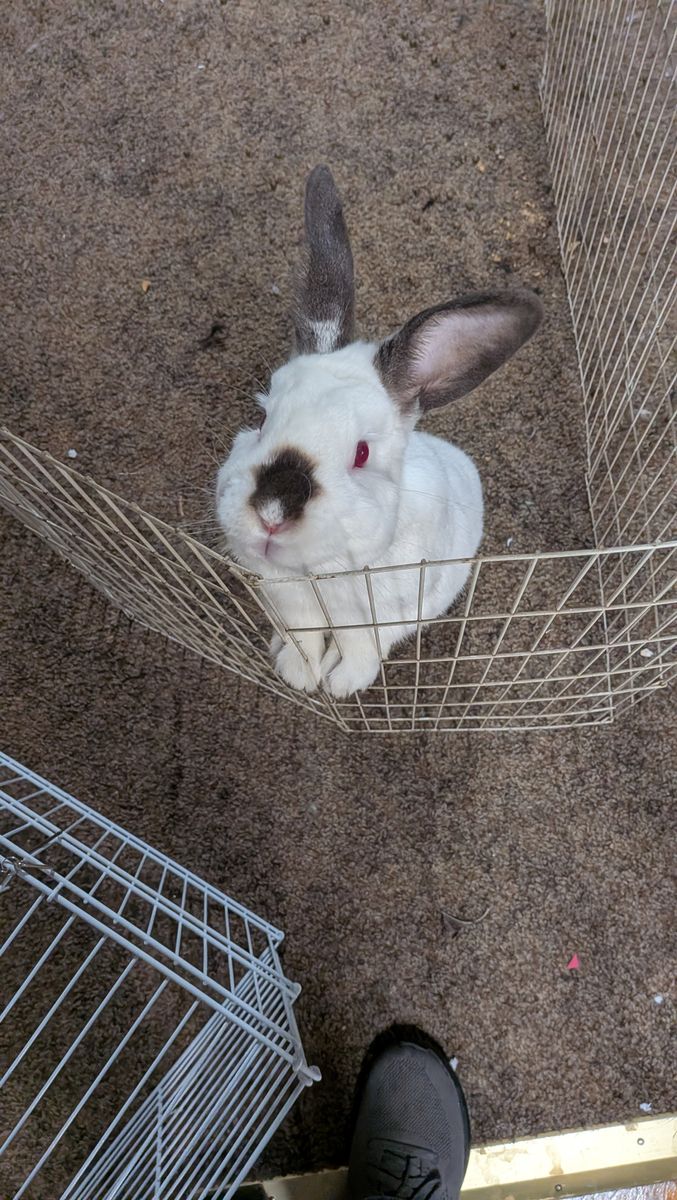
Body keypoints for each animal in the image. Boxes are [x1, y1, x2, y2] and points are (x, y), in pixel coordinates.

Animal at [216, 165, 543, 699]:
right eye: (262, 418)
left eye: (362, 453)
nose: (272, 511)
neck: (321, 572)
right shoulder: (291, 602)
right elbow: (304, 636)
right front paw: (298, 673)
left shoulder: (384, 615)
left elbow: (362, 646)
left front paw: (341, 684)